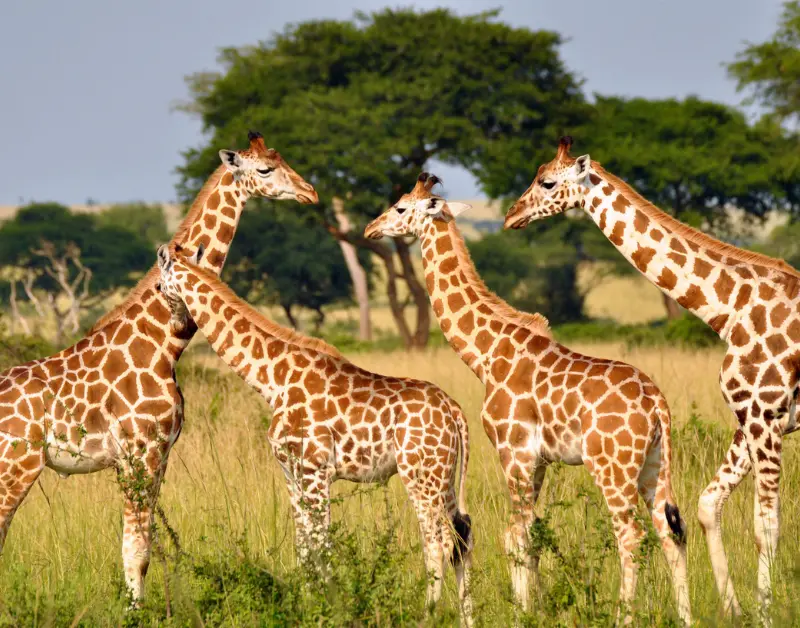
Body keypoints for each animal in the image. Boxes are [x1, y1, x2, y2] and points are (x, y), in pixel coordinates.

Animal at [0, 132, 317, 605]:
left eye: (283, 158)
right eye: (264, 169)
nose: (310, 192)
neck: (165, 344)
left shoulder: (158, 453)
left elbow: (141, 545)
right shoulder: (140, 450)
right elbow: (136, 550)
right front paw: (137, 611)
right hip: (15, 465)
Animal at [155, 244, 475, 625]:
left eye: (159, 286)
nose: (176, 325)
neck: (271, 379)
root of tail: (455, 411)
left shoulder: (315, 469)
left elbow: (322, 543)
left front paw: (329, 608)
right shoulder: (290, 472)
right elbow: (304, 545)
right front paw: (309, 605)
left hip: (420, 475)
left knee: (438, 541)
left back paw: (427, 614)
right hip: (444, 476)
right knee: (462, 534)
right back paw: (468, 618)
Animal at [364, 172, 691, 624]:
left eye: (399, 207)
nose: (369, 229)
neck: (485, 354)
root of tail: (657, 403)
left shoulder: (513, 451)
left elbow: (514, 534)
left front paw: (523, 613)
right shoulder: (537, 461)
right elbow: (531, 533)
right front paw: (534, 607)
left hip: (613, 466)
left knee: (631, 534)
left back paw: (622, 615)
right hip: (654, 465)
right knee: (669, 532)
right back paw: (687, 616)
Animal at [505, 136, 800, 621]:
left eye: (546, 181)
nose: (512, 215)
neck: (730, 310)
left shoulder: (764, 412)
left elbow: (766, 524)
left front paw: (767, 613)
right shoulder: (756, 417)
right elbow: (706, 505)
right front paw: (734, 610)